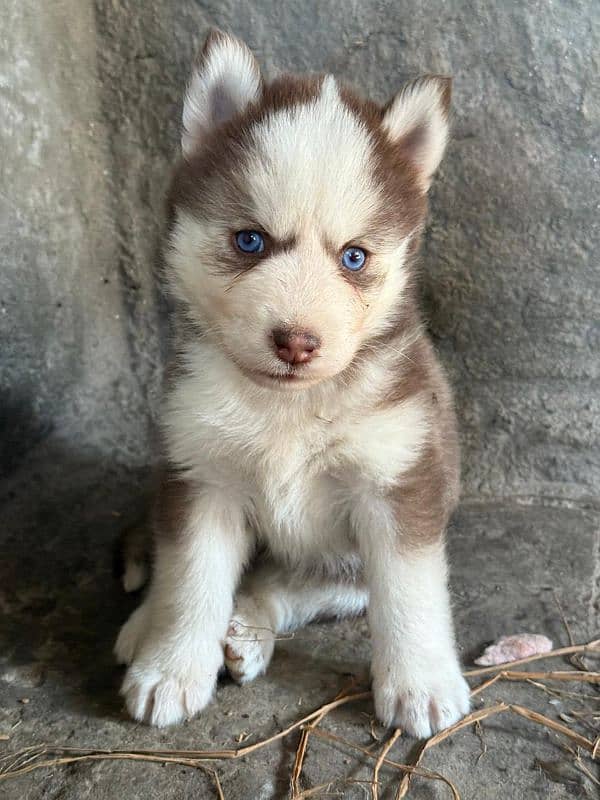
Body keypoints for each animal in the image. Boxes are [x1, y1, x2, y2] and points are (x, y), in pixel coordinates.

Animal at [115, 29, 472, 736]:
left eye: (354, 256)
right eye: (250, 241)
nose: (297, 341)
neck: (289, 410)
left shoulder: (400, 481)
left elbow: (410, 591)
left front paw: (420, 681)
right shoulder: (201, 473)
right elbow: (189, 577)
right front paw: (170, 665)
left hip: (350, 558)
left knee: (293, 585)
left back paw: (249, 629)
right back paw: (150, 626)